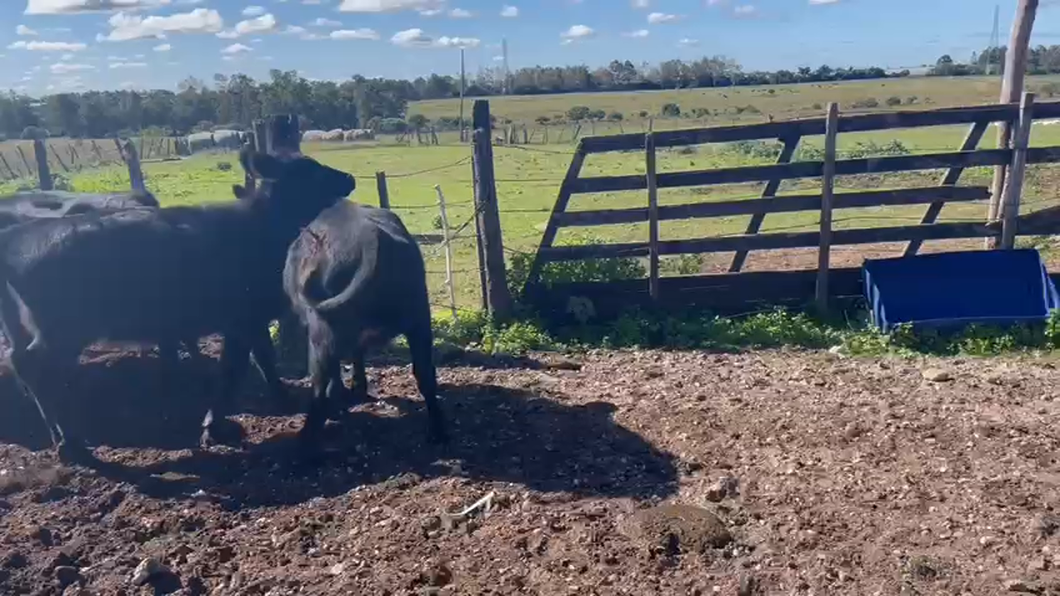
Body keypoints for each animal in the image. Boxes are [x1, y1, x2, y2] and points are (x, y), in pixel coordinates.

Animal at [0, 146, 356, 462]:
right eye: (309, 169)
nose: (350, 178)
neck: (262, 228)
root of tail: (17, 236)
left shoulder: (249, 318)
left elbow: (262, 358)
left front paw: (280, 398)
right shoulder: (242, 317)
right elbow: (233, 368)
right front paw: (214, 427)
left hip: (25, 325)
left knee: (20, 361)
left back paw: (59, 437)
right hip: (64, 329)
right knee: (37, 367)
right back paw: (72, 444)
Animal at [279, 200, 445, 449]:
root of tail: (370, 237)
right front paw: (359, 387)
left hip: (321, 334)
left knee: (319, 386)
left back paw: (306, 440)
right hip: (420, 321)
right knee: (425, 374)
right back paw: (436, 432)